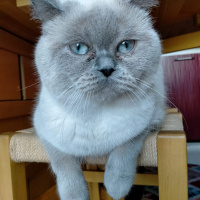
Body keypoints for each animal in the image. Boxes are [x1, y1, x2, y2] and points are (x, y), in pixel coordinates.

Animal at [31, 0, 166, 199]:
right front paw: (75, 195)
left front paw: (116, 187)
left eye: (125, 46)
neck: (98, 112)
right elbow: (63, 162)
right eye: (79, 48)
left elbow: (126, 147)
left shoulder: (151, 120)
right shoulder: (45, 133)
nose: (107, 69)